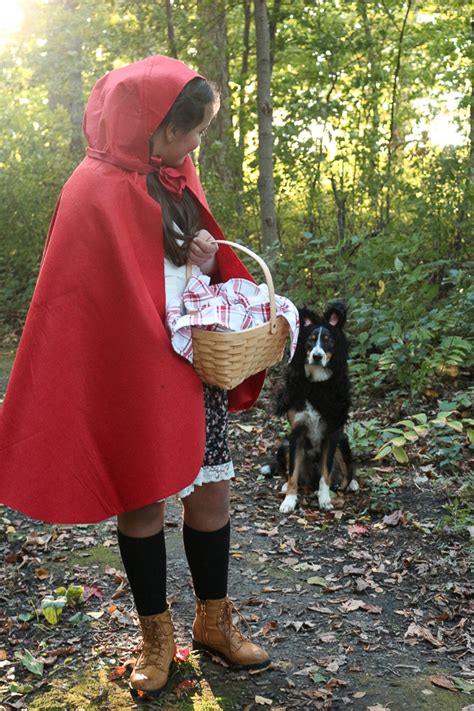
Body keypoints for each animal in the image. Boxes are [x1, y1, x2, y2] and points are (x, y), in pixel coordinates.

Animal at [268, 300, 358, 512]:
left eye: (327, 340)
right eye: (310, 340)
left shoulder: (332, 433)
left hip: (343, 442)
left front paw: (324, 499)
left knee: (346, 472)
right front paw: (289, 500)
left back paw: (350, 484)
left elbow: (326, 475)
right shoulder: (296, 433)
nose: (317, 356)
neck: (317, 385)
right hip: (284, 445)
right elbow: (292, 473)